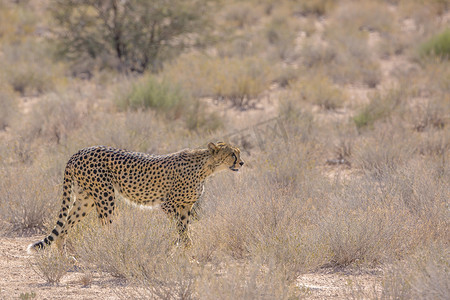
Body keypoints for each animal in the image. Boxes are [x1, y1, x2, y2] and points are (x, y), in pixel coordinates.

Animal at [26, 142, 244, 252]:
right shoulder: (168, 205)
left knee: (64, 228)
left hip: (85, 199)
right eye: (232, 154)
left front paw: (184, 252)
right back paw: (113, 249)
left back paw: (65, 259)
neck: (206, 167)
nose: (242, 163)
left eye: (239, 153)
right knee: (105, 227)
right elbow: (182, 231)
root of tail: (80, 151)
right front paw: (187, 253)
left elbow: (184, 229)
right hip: (105, 195)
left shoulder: (185, 207)